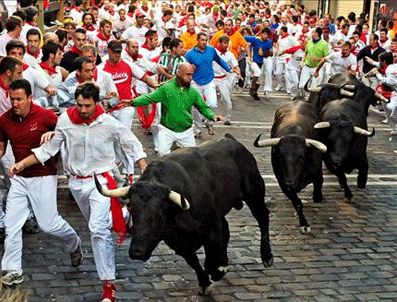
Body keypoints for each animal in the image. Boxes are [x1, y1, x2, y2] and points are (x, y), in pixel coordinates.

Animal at [94, 135, 272, 294]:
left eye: (158, 214)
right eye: (132, 209)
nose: (136, 252)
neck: (177, 212)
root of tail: (233, 142)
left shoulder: (211, 229)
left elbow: (210, 259)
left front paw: (219, 270)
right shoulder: (176, 241)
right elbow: (194, 261)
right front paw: (204, 282)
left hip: (254, 193)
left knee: (263, 217)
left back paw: (267, 256)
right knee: (227, 229)